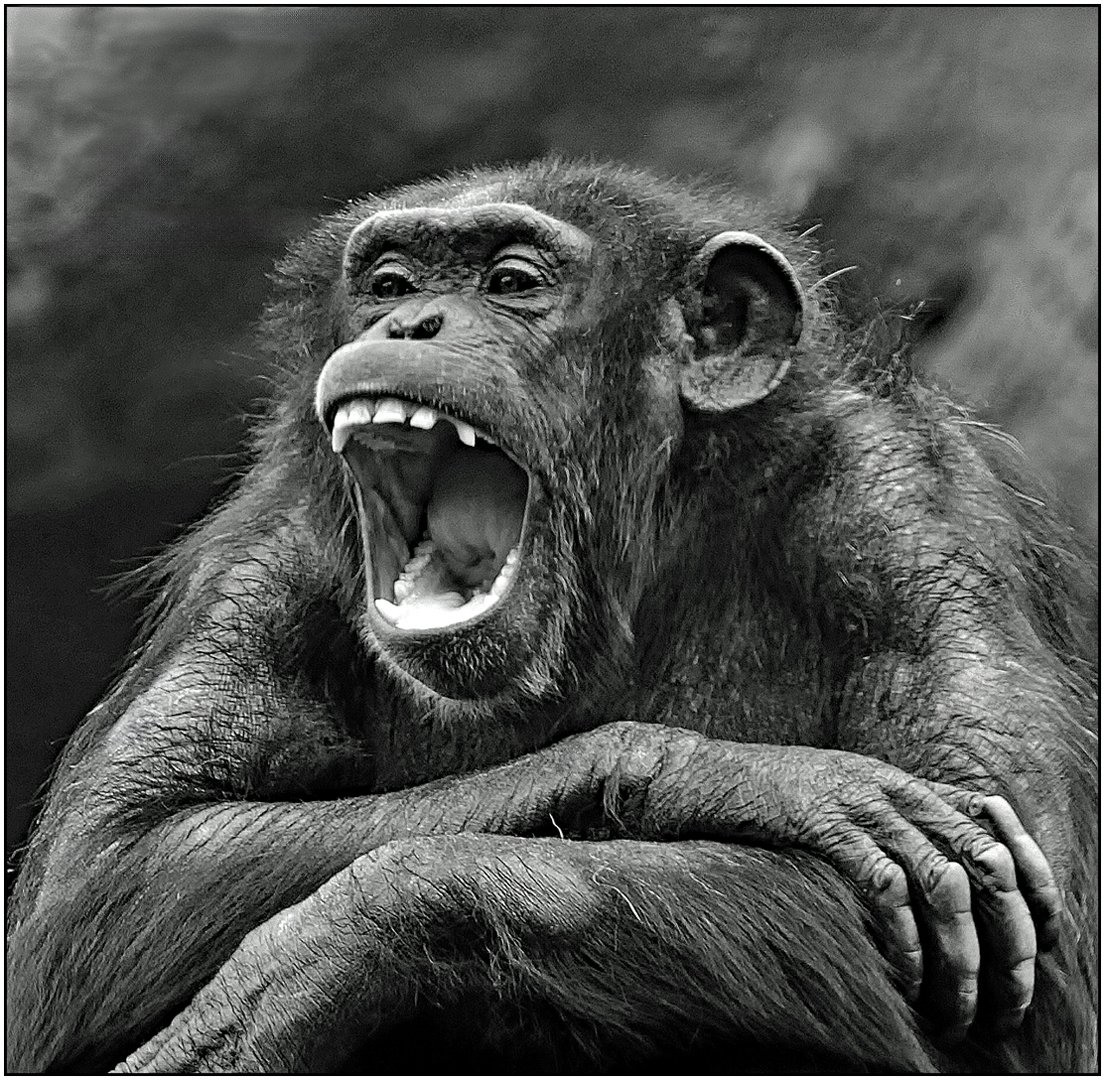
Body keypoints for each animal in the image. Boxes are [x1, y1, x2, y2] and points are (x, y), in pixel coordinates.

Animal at [6, 159, 1096, 1073]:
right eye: (389, 284)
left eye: (512, 282)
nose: (409, 327)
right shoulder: (262, 570)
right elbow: (113, 877)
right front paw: (746, 779)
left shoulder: (911, 521)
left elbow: (1012, 989)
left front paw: (335, 944)